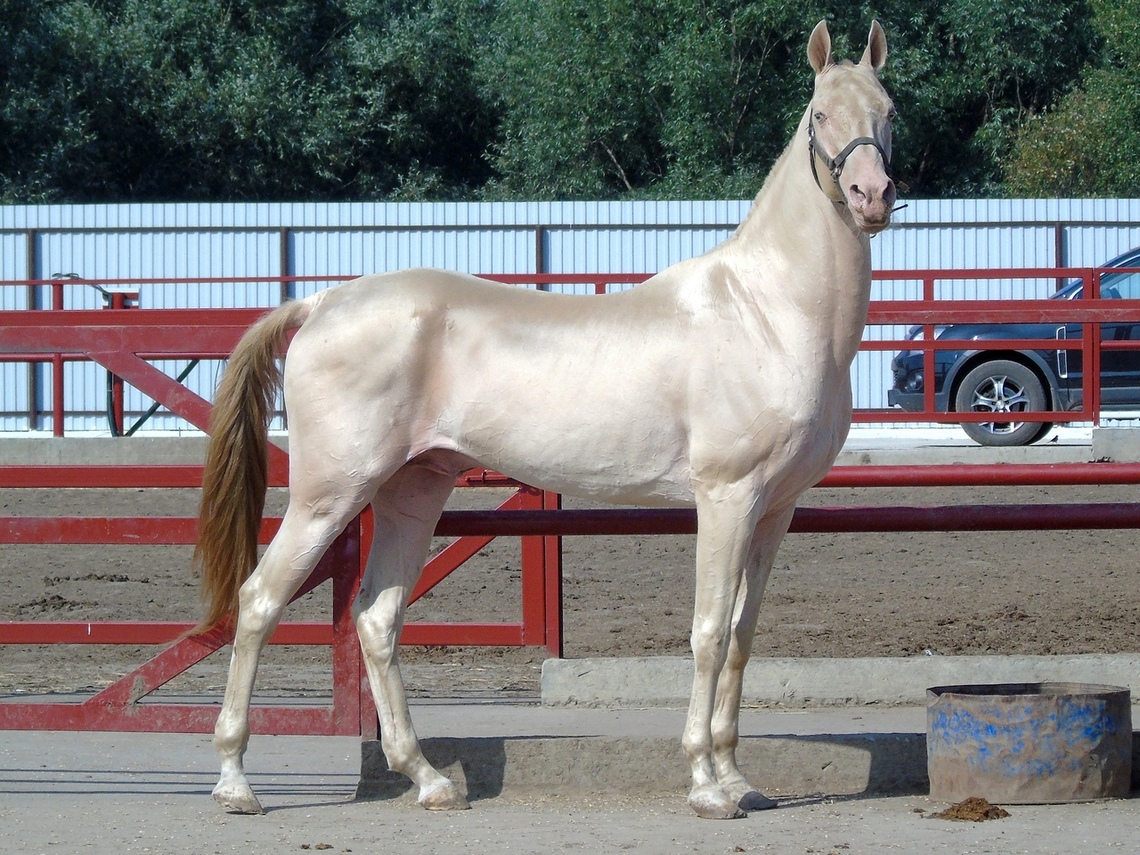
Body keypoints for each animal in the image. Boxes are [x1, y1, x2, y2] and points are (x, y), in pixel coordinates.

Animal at [195, 19, 895, 821]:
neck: (767, 310)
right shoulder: (726, 497)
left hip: (413, 490)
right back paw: (236, 781)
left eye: (889, 111)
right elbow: (710, 633)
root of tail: (323, 302)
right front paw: (705, 785)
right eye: (821, 115)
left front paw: (738, 777)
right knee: (260, 601)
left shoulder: (775, 510)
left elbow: (744, 638)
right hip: (328, 495)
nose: (873, 194)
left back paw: (428, 778)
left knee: (376, 619)